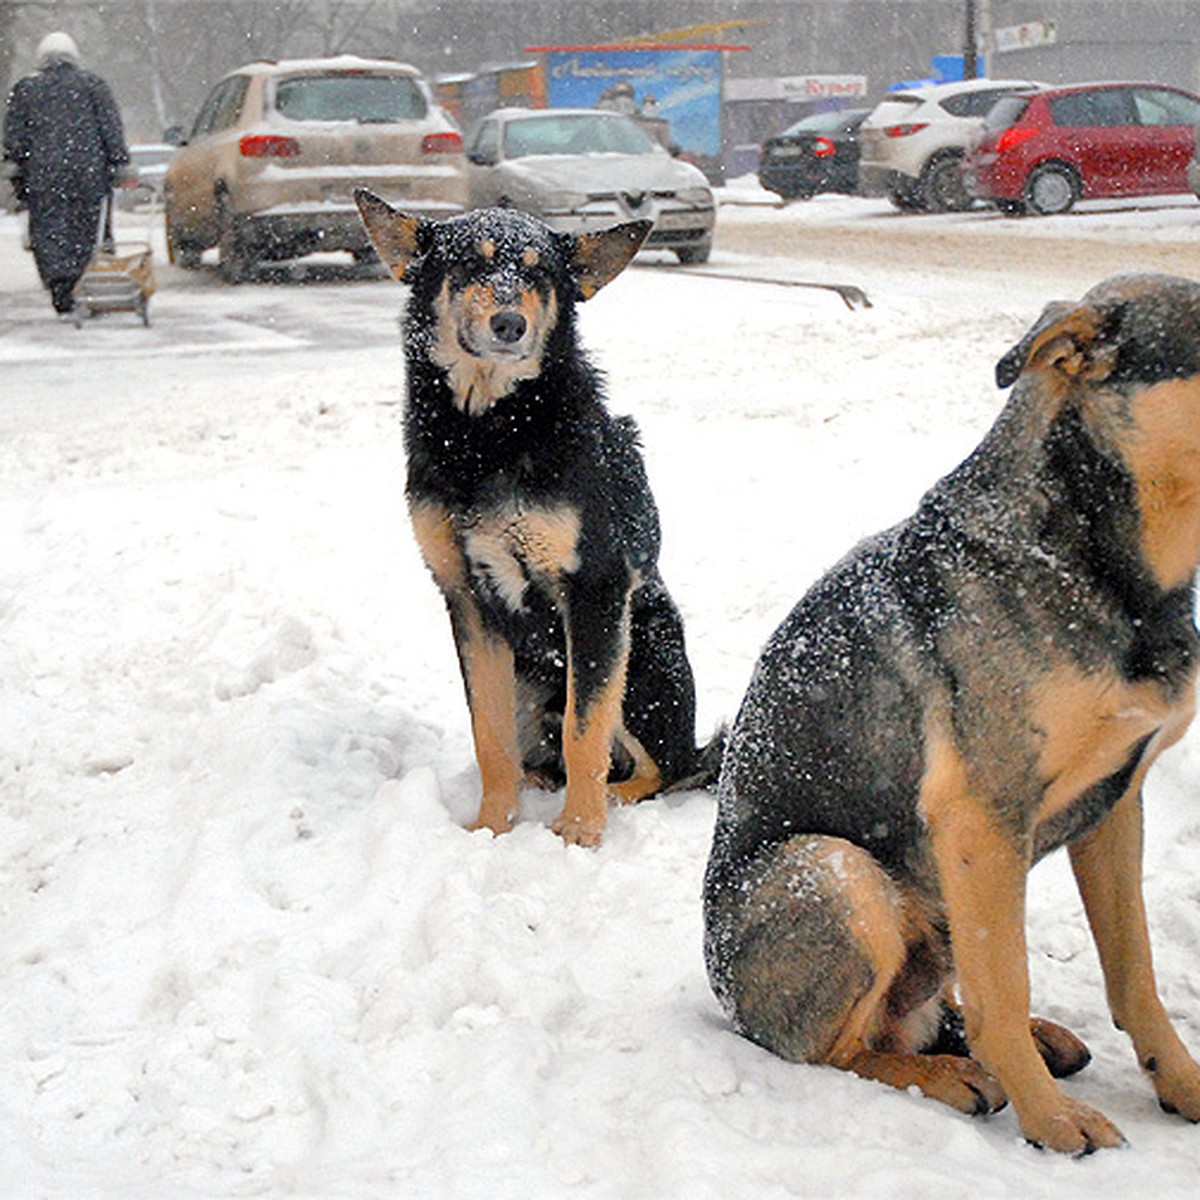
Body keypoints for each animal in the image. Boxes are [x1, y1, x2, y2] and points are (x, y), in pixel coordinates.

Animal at [350, 192, 715, 849]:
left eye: (539, 274)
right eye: (470, 265)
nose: (509, 325)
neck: (487, 433)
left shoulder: (595, 589)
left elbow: (583, 728)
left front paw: (579, 833)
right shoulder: (468, 599)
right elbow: (490, 736)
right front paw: (493, 826)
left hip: (641, 652)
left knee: (668, 767)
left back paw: (612, 801)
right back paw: (539, 783)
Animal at [700, 274, 1200, 1152]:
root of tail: (725, 1002)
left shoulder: (1116, 808)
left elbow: (1134, 974)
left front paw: (1179, 1082)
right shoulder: (981, 815)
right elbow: (1007, 980)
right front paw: (1051, 1119)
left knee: (928, 1011)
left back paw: (1015, 1040)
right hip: (836, 871)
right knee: (840, 1051)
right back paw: (947, 1075)